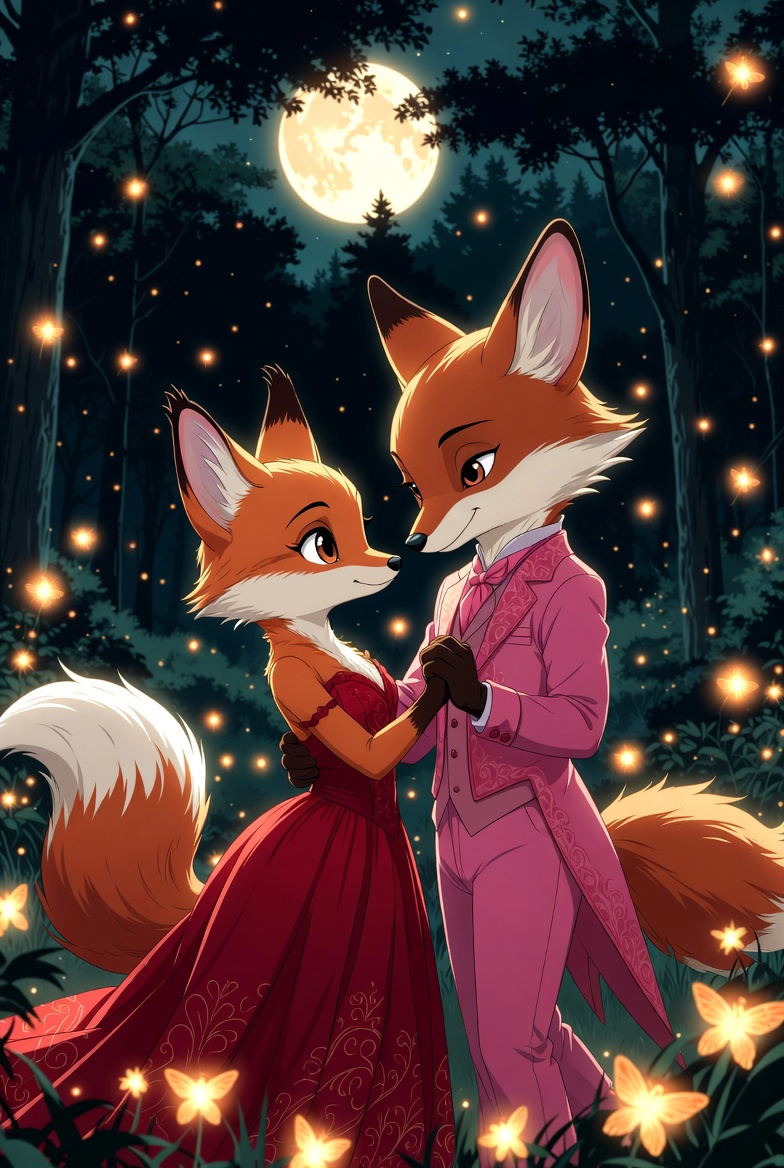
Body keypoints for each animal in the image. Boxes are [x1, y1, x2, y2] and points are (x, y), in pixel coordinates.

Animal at [0, 367, 444, 975]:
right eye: (322, 544)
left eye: (364, 525)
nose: (397, 560)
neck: (313, 635)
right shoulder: (301, 689)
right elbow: (373, 752)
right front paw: (450, 670)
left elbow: (398, 695)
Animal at [362, 217, 784, 975]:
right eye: (410, 481)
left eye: (475, 469)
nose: (414, 541)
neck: (499, 560)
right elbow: (410, 703)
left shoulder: (585, 612)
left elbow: (579, 718)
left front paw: (463, 682)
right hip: (458, 893)